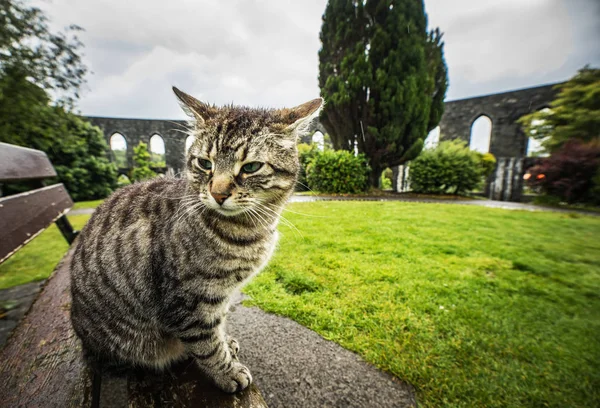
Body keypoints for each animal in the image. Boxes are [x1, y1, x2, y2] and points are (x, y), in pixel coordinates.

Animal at [69, 87, 324, 394]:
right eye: (205, 163)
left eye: (251, 167)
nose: (218, 193)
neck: (249, 231)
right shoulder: (187, 300)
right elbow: (207, 344)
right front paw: (227, 372)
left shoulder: (221, 295)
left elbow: (220, 324)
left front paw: (227, 344)